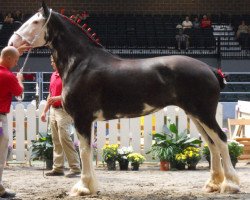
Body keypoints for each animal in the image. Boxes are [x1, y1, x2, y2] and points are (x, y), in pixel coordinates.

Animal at [7, 2, 239, 196]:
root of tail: (210, 69)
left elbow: (83, 152)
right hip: (196, 115)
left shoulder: (82, 118)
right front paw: (90, 187)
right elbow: (86, 152)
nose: (12, 42)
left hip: (204, 114)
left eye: (35, 22)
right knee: (212, 144)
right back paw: (212, 185)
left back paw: (230, 185)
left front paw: (83, 188)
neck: (81, 63)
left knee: (221, 140)